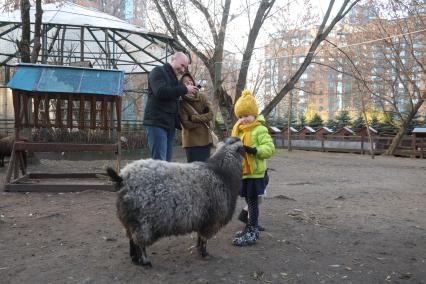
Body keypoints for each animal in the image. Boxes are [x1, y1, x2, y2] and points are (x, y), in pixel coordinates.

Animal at [108, 136, 245, 266]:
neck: (221, 173)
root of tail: (122, 178)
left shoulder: (202, 219)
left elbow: (199, 237)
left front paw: (198, 249)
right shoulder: (212, 220)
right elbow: (204, 239)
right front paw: (204, 253)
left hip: (130, 220)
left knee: (131, 239)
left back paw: (135, 259)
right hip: (142, 222)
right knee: (139, 242)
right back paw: (145, 261)